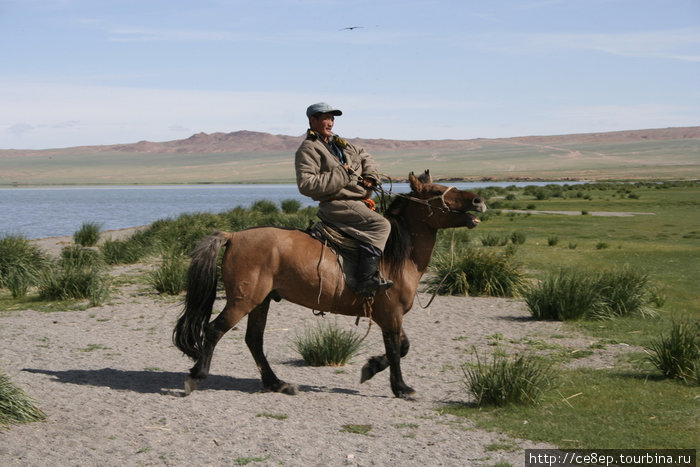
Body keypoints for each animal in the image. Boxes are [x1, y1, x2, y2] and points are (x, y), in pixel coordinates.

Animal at [174, 172, 486, 398]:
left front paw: (370, 367)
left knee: (254, 340)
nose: (478, 201)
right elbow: (397, 351)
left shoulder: (389, 315)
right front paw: (401, 388)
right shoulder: (391, 314)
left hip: (261, 301)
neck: (395, 255)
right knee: (214, 331)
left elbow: (403, 346)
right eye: (436, 192)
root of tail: (234, 236)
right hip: (243, 300)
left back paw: (277, 384)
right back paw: (196, 377)